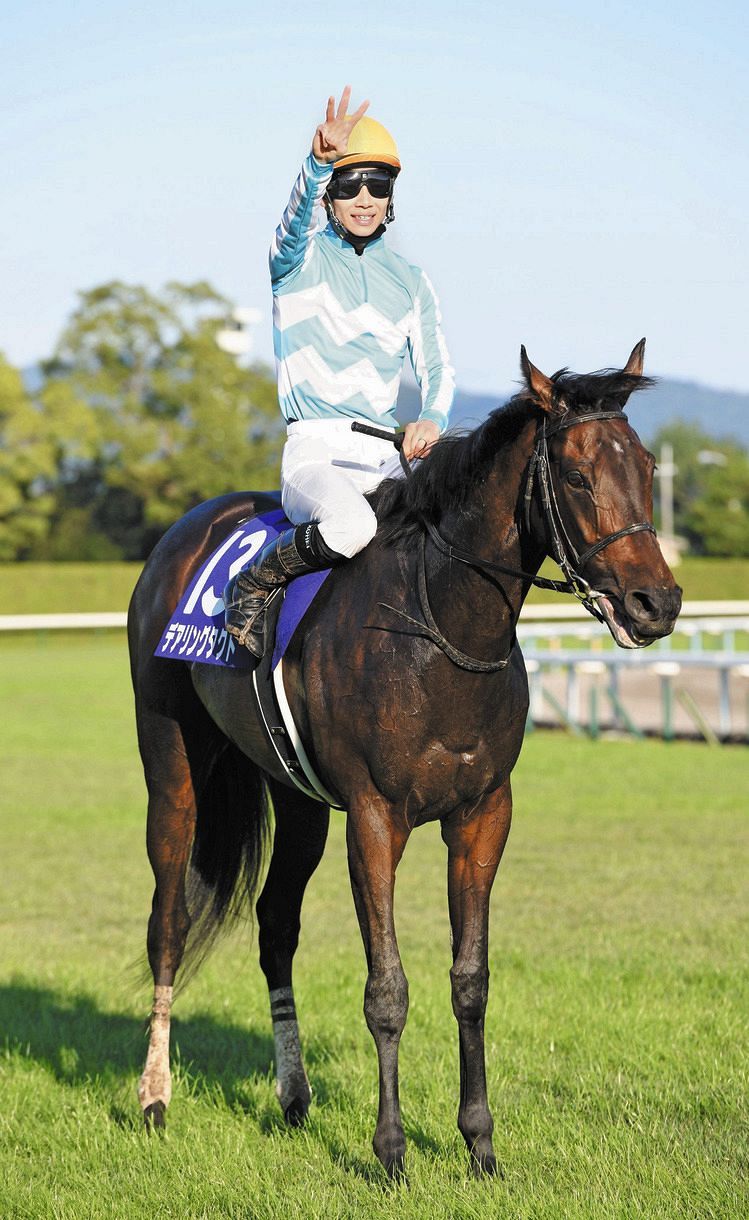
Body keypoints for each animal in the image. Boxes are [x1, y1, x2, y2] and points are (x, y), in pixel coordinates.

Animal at [130, 341, 688, 1171]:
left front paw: (479, 1143)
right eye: (578, 475)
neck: (439, 626)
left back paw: (292, 1096)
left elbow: (470, 980)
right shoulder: (374, 817)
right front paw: (390, 1150)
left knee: (275, 925)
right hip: (172, 766)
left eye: (649, 468)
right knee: (168, 919)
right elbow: (386, 989)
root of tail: (191, 527)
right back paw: (154, 1096)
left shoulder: (484, 816)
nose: (657, 604)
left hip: (296, 795)